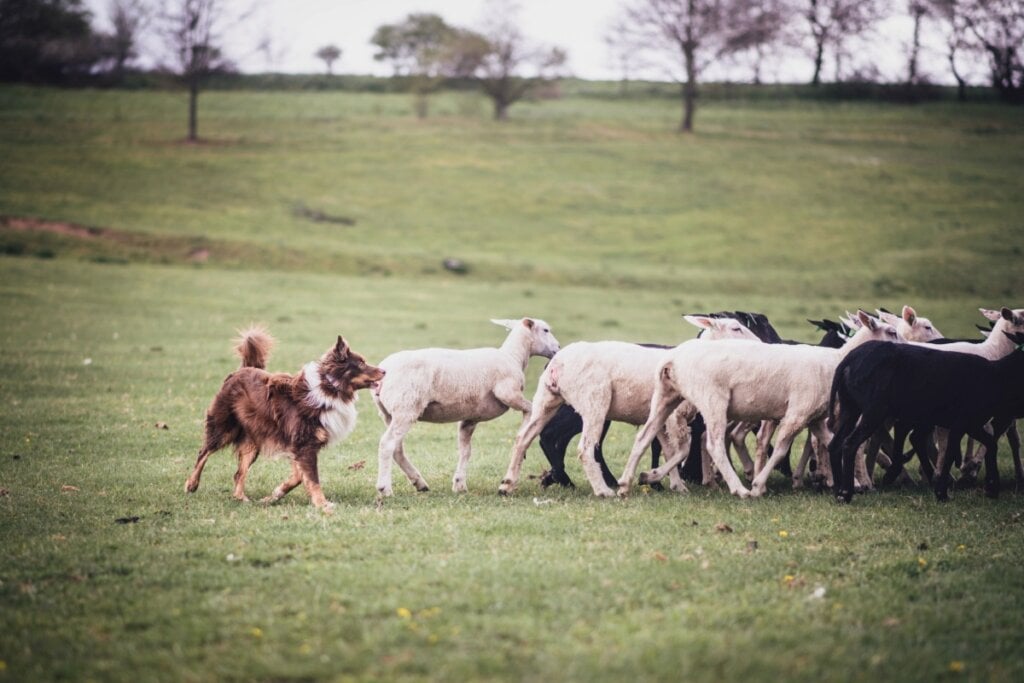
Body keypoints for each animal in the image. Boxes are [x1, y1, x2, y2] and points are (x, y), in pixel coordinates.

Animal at [184, 327, 385, 511]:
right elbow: (313, 479)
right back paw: (191, 484)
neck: (329, 387)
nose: (384, 371)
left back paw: (241, 498)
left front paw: (273, 496)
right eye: (361, 363)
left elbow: (297, 478)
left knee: (238, 473)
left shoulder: (300, 446)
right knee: (204, 452)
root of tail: (241, 370)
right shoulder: (304, 445)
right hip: (224, 427)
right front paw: (322, 504)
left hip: (253, 441)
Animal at [372, 317, 557, 493]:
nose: (558, 347)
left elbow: (465, 451)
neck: (513, 356)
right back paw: (385, 488)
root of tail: (384, 368)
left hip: (388, 413)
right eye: (546, 330)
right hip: (406, 408)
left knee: (397, 449)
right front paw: (524, 431)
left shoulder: (470, 418)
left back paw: (420, 483)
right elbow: (530, 407)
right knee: (387, 444)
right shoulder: (508, 393)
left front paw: (459, 484)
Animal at [497, 315, 761, 497]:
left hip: (547, 399)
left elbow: (667, 449)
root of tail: (557, 362)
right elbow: (681, 451)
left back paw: (507, 484)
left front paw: (674, 484)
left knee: (523, 438)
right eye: (736, 328)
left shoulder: (662, 417)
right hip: (594, 402)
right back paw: (603, 490)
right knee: (584, 448)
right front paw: (652, 478)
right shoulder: (675, 415)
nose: (760, 343)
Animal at [614, 313, 897, 499]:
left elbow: (831, 443)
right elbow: (781, 449)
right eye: (892, 332)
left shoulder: (815, 417)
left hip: (667, 398)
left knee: (645, 436)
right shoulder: (798, 412)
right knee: (714, 444)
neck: (836, 359)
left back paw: (626, 483)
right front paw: (759, 485)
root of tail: (672, 359)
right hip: (713, 400)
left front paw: (853, 483)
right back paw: (739, 488)